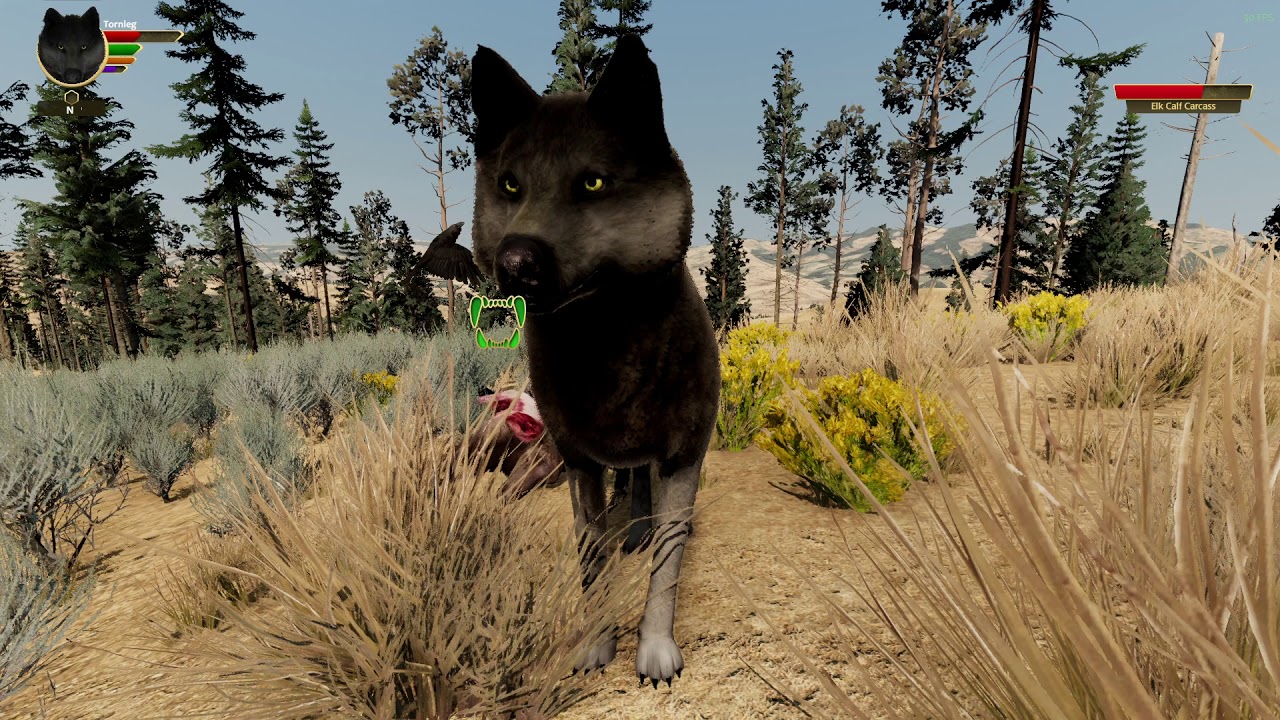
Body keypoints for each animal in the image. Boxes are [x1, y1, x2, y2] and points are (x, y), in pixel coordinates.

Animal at [466, 34, 721, 686]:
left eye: (593, 185)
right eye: (510, 186)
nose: (514, 262)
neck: (603, 339)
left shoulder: (682, 456)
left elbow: (666, 565)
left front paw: (655, 649)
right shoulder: (578, 463)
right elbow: (590, 559)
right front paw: (594, 642)